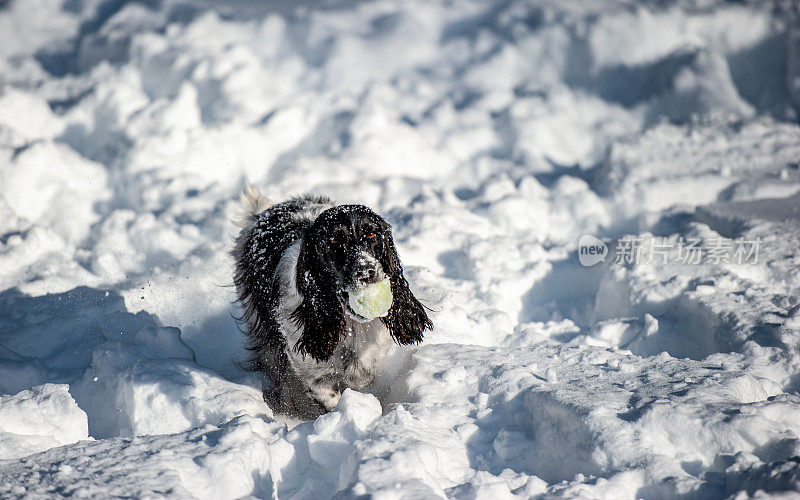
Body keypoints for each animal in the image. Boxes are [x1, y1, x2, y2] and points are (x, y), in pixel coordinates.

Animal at [231, 188, 432, 418]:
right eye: (335, 240)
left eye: (372, 234)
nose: (366, 271)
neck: (351, 325)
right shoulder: (316, 373)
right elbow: (329, 396)